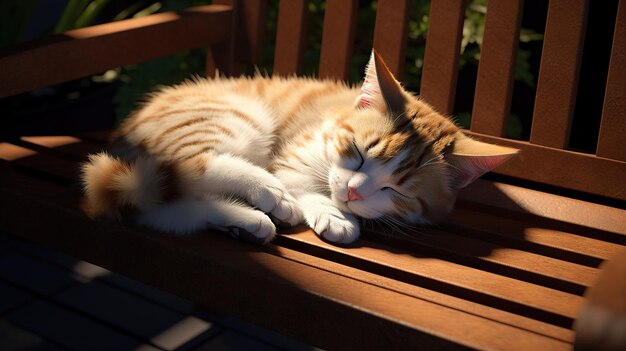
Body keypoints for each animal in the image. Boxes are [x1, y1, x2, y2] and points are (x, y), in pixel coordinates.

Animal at [79, 51, 516, 245]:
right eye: (358, 152)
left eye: (398, 190)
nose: (354, 192)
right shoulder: (293, 155)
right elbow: (299, 181)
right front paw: (329, 211)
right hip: (235, 116)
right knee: (195, 164)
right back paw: (267, 194)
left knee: (164, 208)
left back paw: (245, 220)